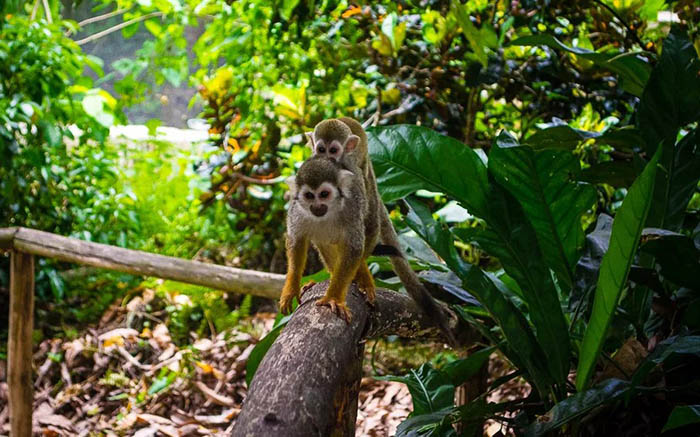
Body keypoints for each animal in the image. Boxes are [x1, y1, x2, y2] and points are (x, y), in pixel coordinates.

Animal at [278, 156, 380, 320]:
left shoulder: (351, 210)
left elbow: (354, 248)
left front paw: (333, 298)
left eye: (324, 194)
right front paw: (291, 288)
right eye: (309, 196)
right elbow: (296, 241)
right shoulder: (297, 211)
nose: (317, 206)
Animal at [306, 116, 460, 344]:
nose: (326, 160)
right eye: (321, 149)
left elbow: (367, 226)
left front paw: (361, 279)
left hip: (365, 169)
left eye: (333, 151)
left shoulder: (353, 173)